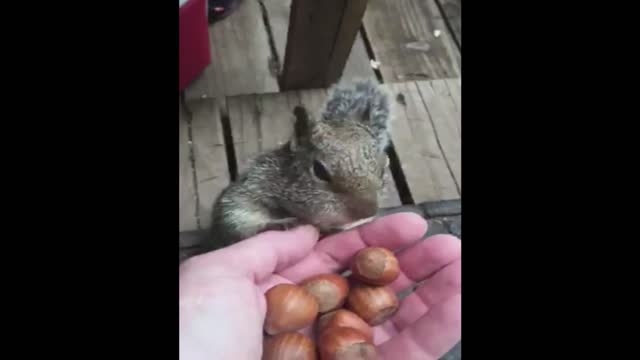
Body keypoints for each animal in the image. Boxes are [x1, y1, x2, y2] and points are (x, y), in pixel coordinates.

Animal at [202, 80, 392, 252]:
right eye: (319, 170)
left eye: (384, 167)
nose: (369, 212)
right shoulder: (249, 187)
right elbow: (233, 220)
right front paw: (275, 224)